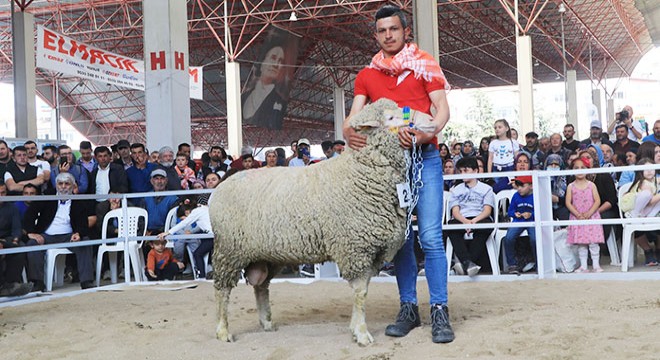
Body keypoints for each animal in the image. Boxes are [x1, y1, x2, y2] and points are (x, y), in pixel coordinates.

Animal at [209, 98, 430, 346]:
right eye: (391, 118)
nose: (430, 119)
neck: (358, 172)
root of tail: (220, 187)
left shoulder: (371, 251)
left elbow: (363, 291)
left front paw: (355, 328)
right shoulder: (355, 248)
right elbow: (360, 293)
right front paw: (362, 333)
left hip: (267, 253)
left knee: (261, 287)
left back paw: (266, 322)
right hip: (229, 250)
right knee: (222, 290)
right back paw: (223, 330)